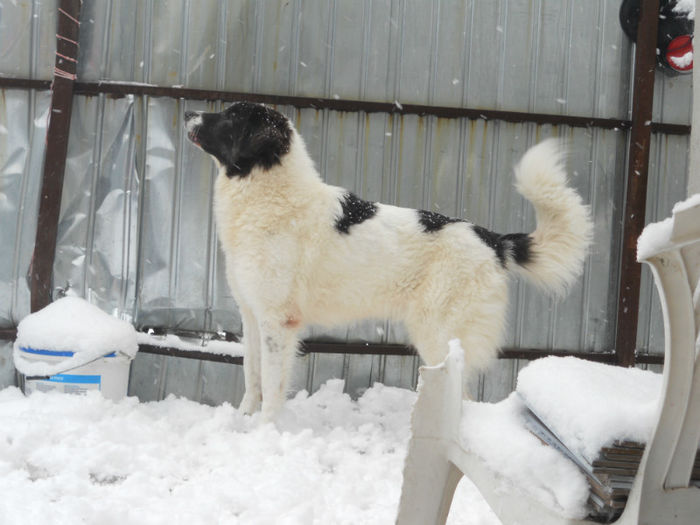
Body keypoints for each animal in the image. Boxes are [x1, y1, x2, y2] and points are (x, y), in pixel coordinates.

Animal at [185, 104, 592, 420]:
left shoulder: (278, 321)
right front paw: (243, 421)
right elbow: (251, 375)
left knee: (463, 400)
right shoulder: (252, 315)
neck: (269, 192)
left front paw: (266, 430)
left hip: (437, 334)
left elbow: (271, 384)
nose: (189, 113)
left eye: (230, 117)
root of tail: (493, 240)